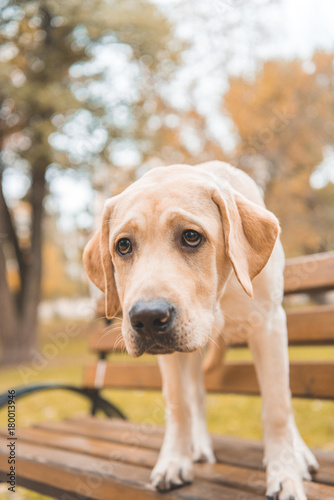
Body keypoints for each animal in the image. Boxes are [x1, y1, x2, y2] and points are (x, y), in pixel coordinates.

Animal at [83, 162, 318, 498]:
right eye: (123, 245)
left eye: (191, 237)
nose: (147, 318)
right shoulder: (170, 356)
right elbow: (179, 403)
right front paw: (173, 461)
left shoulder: (269, 325)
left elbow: (277, 407)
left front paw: (284, 474)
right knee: (196, 394)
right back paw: (199, 445)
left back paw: (298, 453)